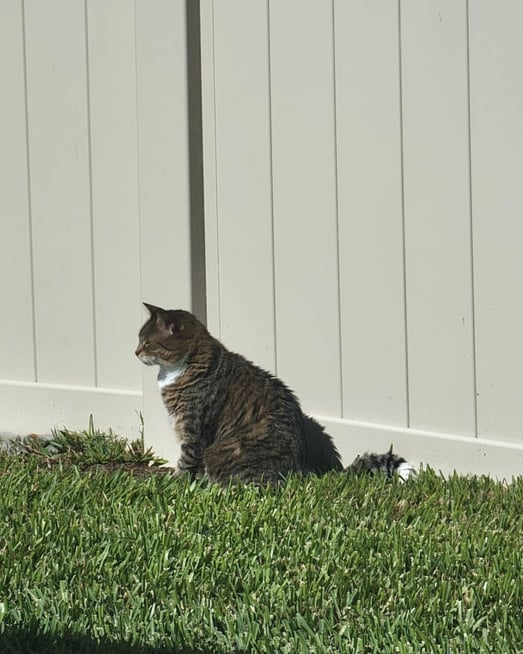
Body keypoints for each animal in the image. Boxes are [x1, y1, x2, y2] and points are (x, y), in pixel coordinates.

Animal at [137, 304, 416, 484]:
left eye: (147, 342)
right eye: (139, 340)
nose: (135, 351)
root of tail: (300, 471)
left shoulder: (194, 428)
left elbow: (186, 459)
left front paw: (174, 483)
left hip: (222, 451)